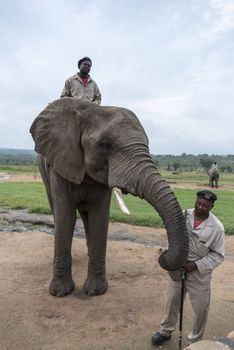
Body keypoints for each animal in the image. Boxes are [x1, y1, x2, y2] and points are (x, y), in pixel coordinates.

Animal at [30, 97, 189, 296]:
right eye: (105, 144)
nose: (163, 253)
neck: (88, 109)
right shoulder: (59, 165)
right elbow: (65, 217)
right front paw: (60, 292)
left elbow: (99, 218)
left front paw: (95, 291)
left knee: (87, 216)